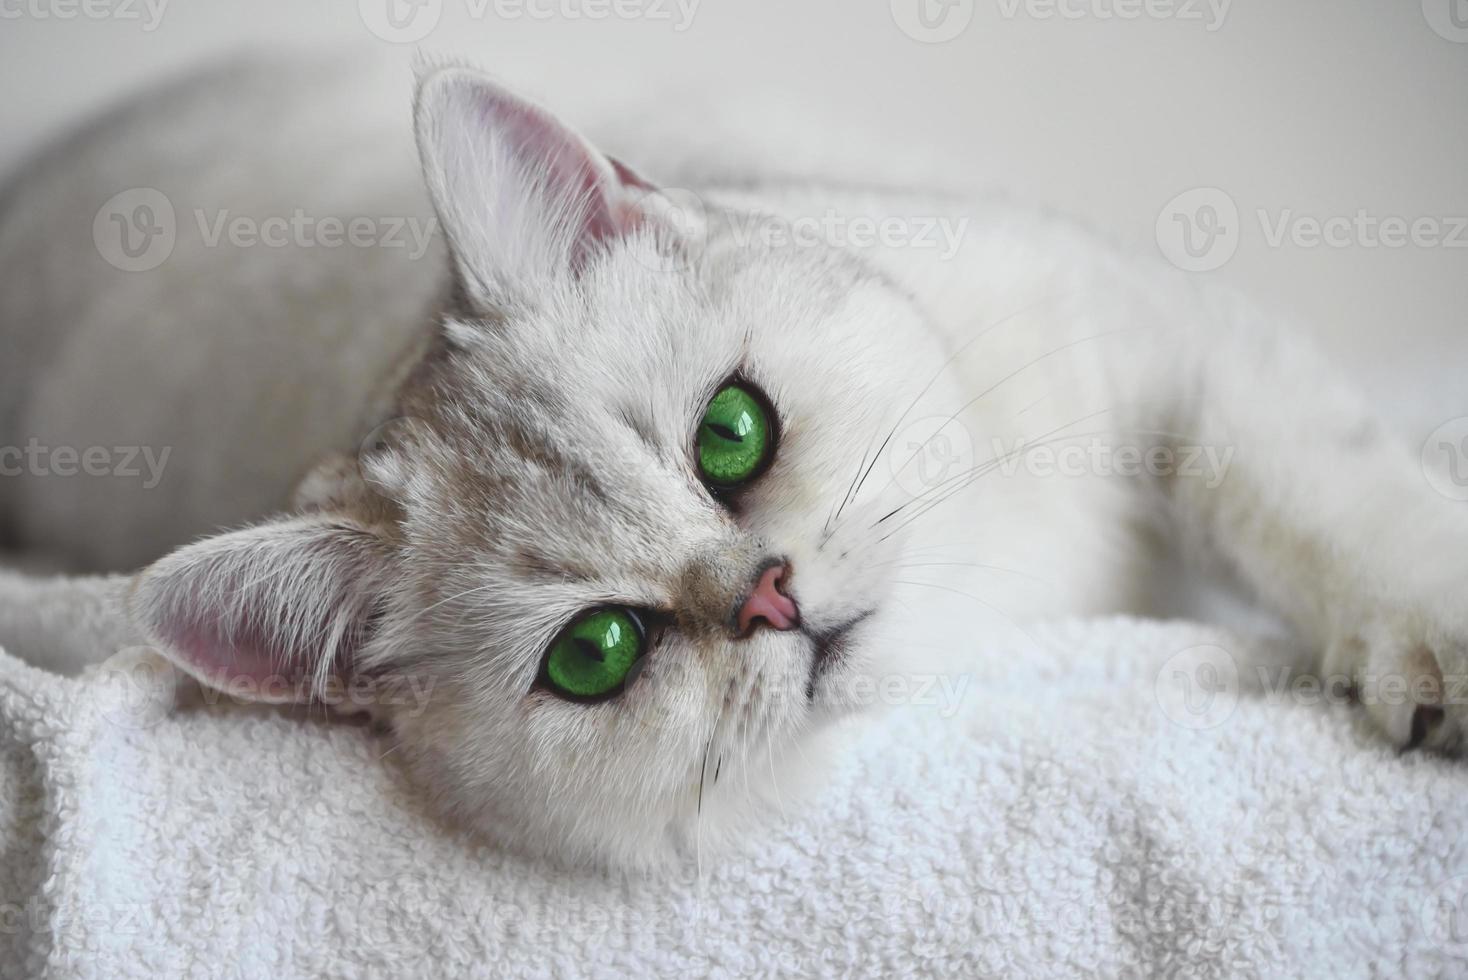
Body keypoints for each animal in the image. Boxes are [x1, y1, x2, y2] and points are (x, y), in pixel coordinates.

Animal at [2, 55, 1468, 862]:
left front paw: (1432, 629)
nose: (769, 594)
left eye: (732, 434)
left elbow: (1319, 484)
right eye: (595, 652)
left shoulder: (1159, 337)